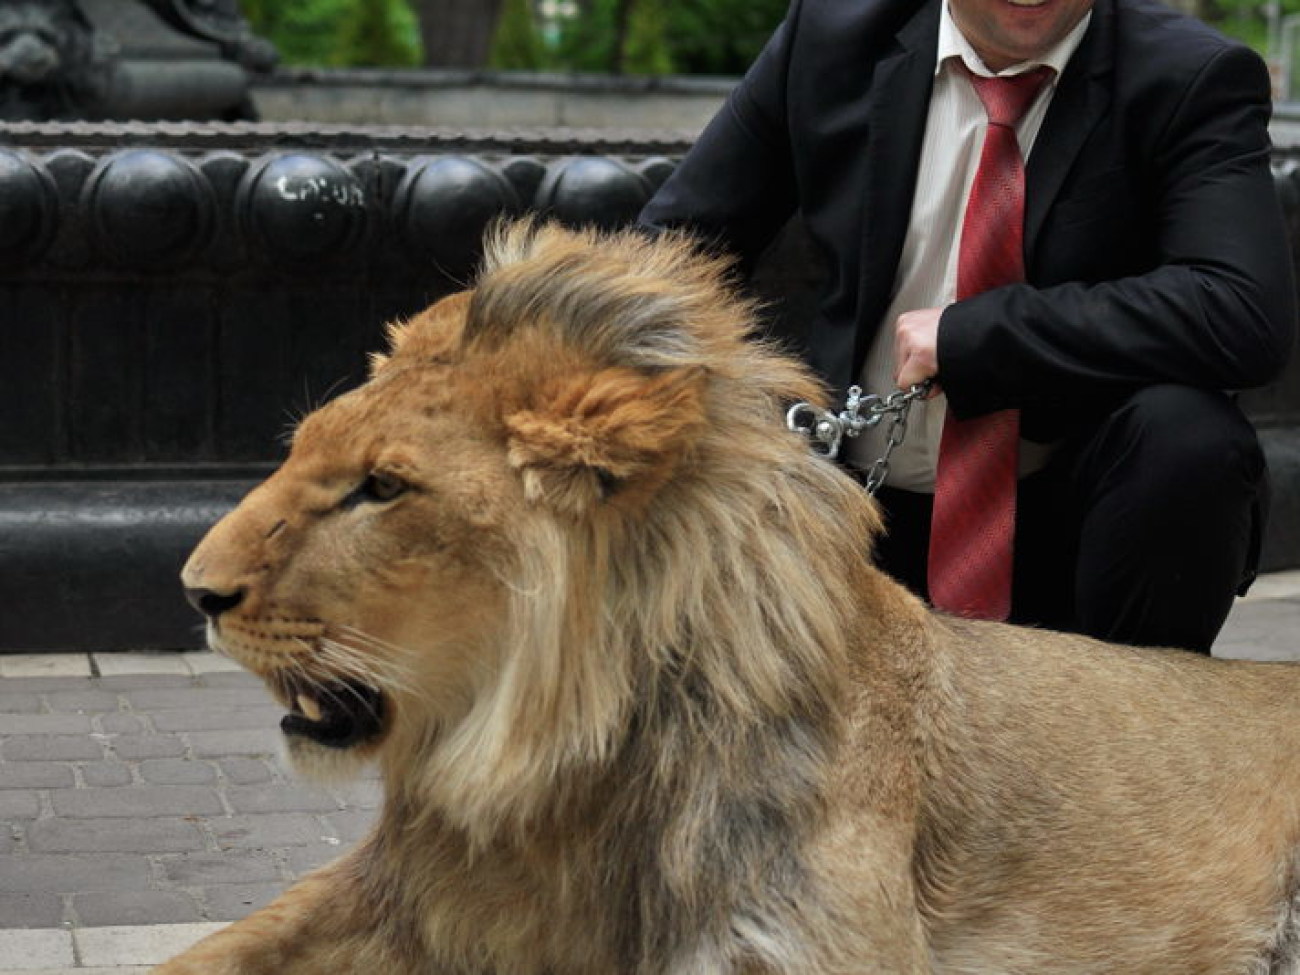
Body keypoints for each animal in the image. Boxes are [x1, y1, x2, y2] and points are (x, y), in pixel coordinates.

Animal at [157, 220, 1300, 975]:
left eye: (383, 489)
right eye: (304, 450)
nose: (195, 592)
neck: (555, 781)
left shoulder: (815, 943)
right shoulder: (403, 896)